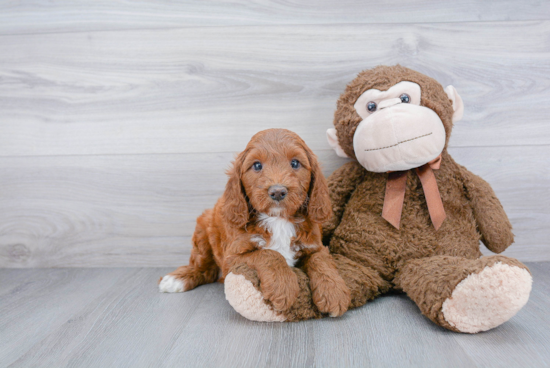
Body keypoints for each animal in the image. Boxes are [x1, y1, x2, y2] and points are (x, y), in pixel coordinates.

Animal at [160, 129, 352, 316]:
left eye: (295, 163)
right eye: (257, 165)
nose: (277, 191)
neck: (278, 219)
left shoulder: (314, 244)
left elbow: (321, 259)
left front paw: (334, 292)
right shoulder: (231, 258)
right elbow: (269, 254)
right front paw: (283, 287)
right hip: (203, 229)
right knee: (203, 267)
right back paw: (178, 279)